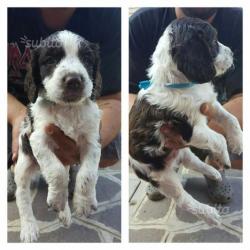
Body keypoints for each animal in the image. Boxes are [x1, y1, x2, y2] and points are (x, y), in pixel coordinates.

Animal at [14, 29, 102, 242]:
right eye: (51, 60)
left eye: (86, 59)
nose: (74, 80)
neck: (67, 109)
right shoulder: (38, 137)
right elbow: (56, 171)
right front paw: (56, 200)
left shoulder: (92, 141)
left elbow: (88, 174)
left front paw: (82, 203)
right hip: (23, 164)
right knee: (22, 195)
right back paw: (29, 227)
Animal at [129, 17, 242, 225]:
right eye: (213, 41)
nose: (232, 52)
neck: (179, 83)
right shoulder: (188, 130)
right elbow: (219, 138)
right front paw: (225, 157)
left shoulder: (209, 103)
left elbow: (230, 119)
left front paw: (239, 142)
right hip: (163, 177)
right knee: (182, 200)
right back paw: (210, 215)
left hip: (182, 152)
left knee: (194, 163)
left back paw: (213, 172)